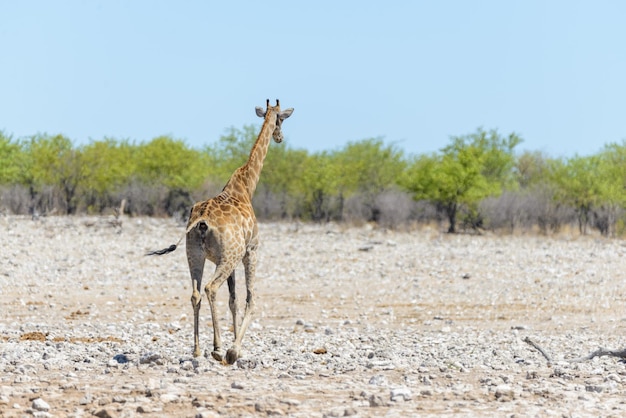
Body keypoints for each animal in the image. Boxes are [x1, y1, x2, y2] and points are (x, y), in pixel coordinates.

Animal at [147, 99, 294, 364]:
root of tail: (201, 220)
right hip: (229, 256)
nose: (279, 137)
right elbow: (250, 299)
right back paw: (217, 349)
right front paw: (234, 349)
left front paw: (234, 346)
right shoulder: (250, 251)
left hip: (195, 254)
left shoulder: (225, 259)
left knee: (195, 293)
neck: (246, 186)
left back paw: (197, 350)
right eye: (281, 118)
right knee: (210, 288)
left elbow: (233, 300)